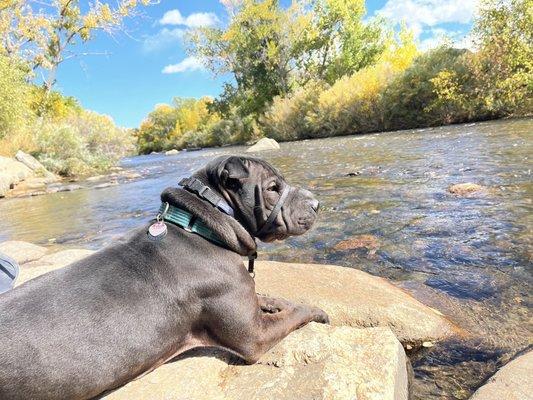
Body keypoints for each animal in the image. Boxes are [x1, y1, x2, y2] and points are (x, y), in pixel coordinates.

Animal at [0, 155, 328, 400]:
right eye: (273, 187)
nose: (316, 204)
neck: (203, 226)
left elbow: (267, 297)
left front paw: (277, 300)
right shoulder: (254, 337)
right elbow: (296, 313)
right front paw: (316, 310)